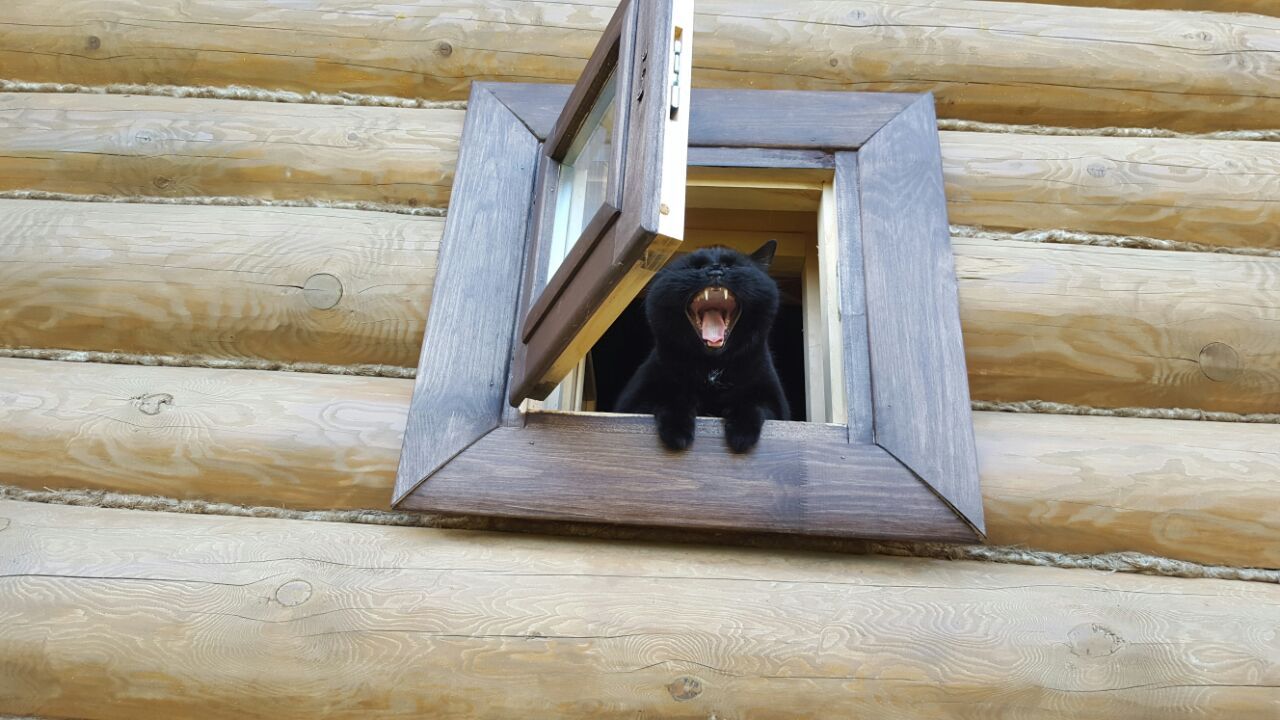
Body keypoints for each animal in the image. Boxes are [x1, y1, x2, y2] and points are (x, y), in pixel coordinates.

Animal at [611, 243, 783, 450]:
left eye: (731, 265)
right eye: (696, 267)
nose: (715, 270)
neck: (711, 368)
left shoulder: (773, 401)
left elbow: (752, 403)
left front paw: (742, 434)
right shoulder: (634, 403)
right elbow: (671, 398)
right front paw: (678, 432)